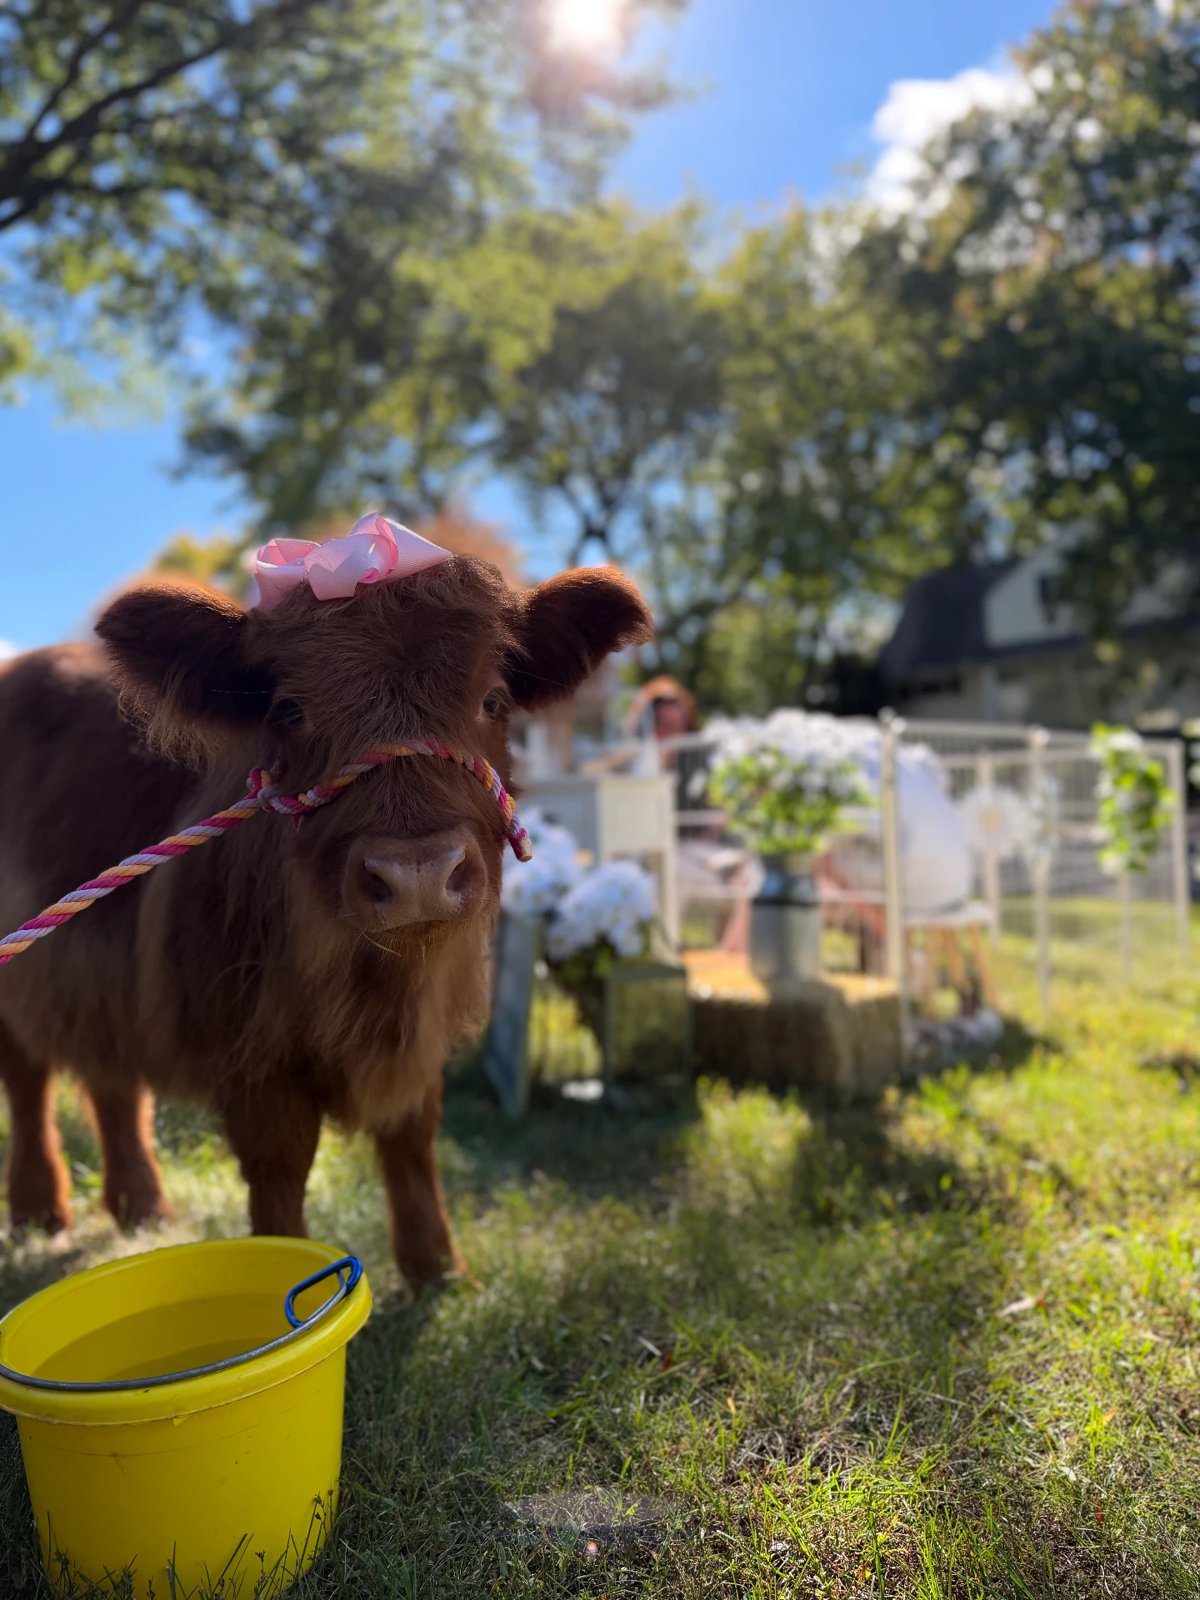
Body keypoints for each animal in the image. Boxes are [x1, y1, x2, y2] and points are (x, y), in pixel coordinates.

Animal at [0, 531, 652, 1288]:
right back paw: (40, 1209)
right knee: (28, 1080)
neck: (375, 986)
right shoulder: (252, 1053)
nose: (417, 873)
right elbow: (280, 1169)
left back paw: (143, 1208)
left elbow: (413, 1134)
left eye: (492, 699)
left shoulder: (423, 1035)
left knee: (111, 1078)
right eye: (290, 710)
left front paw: (437, 1266)